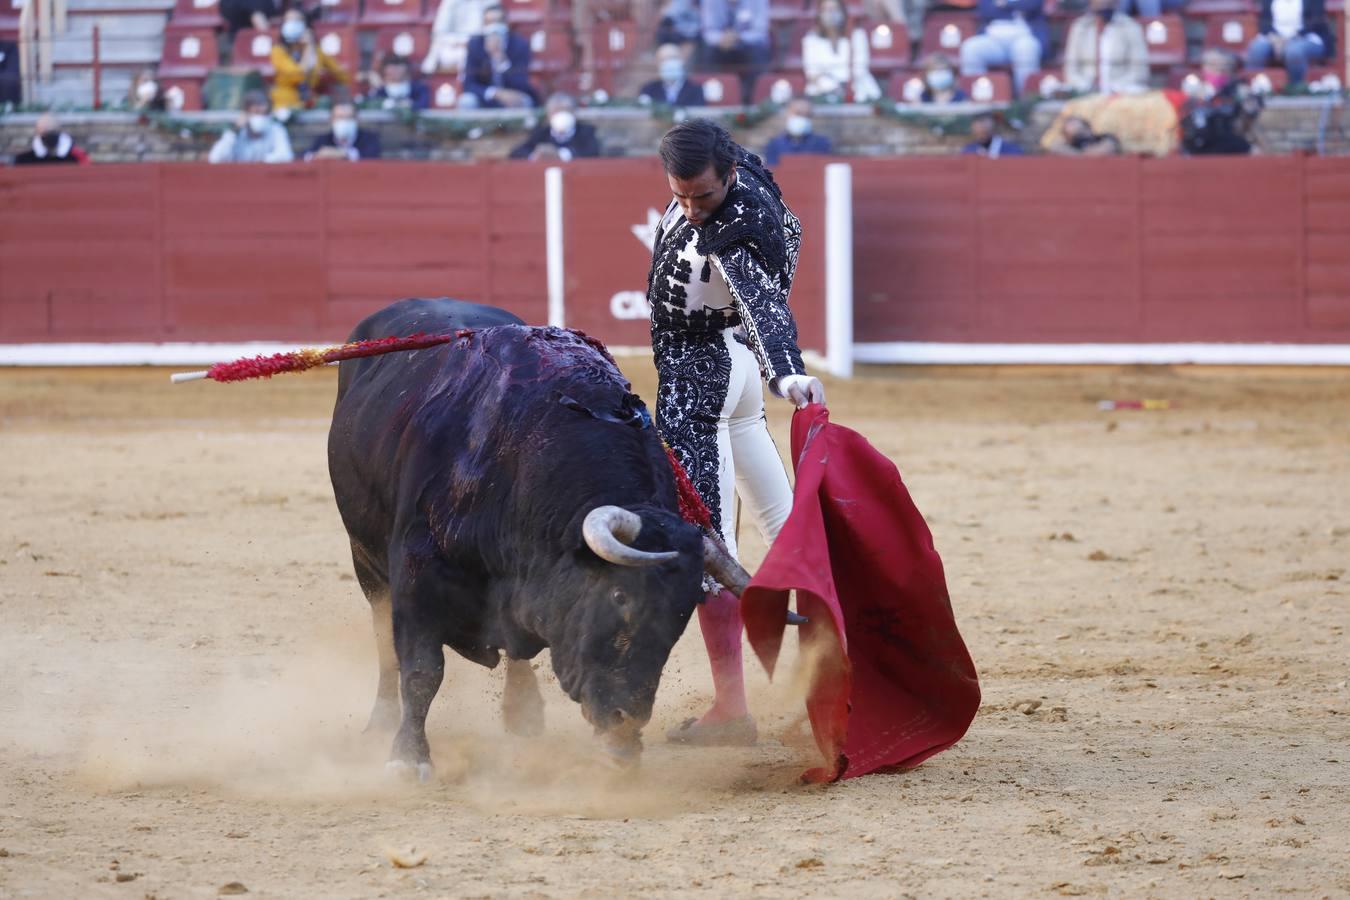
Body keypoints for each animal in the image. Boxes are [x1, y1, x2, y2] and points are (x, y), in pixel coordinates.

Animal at [326, 299, 750, 777]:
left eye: (682, 614)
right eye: (620, 596)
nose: (625, 720)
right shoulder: (414, 577)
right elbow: (420, 669)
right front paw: (408, 758)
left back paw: (523, 713)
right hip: (365, 560)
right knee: (384, 642)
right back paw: (380, 722)